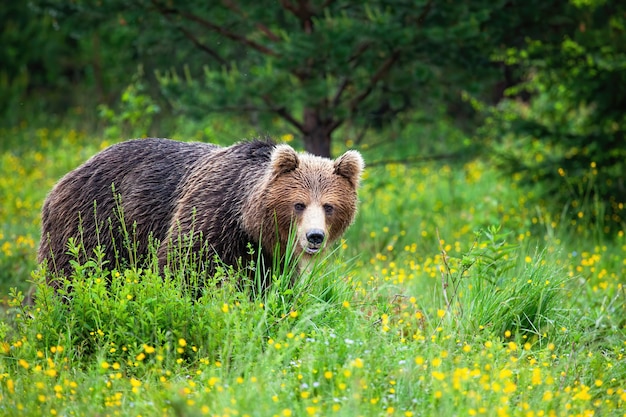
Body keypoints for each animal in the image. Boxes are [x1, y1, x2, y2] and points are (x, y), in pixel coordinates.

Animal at [36, 138, 364, 290]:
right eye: (299, 204)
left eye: (329, 206)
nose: (314, 236)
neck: (245, 221)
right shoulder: (208, 213)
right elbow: (180, 265)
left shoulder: (267, 255)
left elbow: (267, 287)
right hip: (95, 221)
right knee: (72, 270)